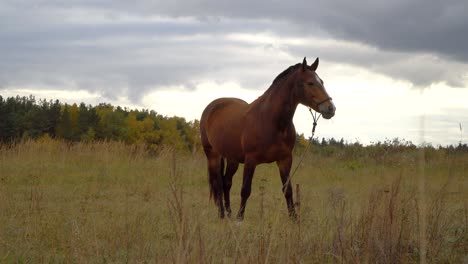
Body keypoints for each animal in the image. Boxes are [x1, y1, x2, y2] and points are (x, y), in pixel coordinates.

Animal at [199, 58, 334, 221]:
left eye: (322, 81)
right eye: (310, 83)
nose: (331, 108)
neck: (272, 121)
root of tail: (211, 107)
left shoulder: (284, 160)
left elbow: (288, 190)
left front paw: (294, 219)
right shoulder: (251, 160)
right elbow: (245, 190)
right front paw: (239, 219)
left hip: (232, 159)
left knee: (226, 182)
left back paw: (229, 213)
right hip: (212, 155)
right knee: (218, 183)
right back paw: (222, 215)